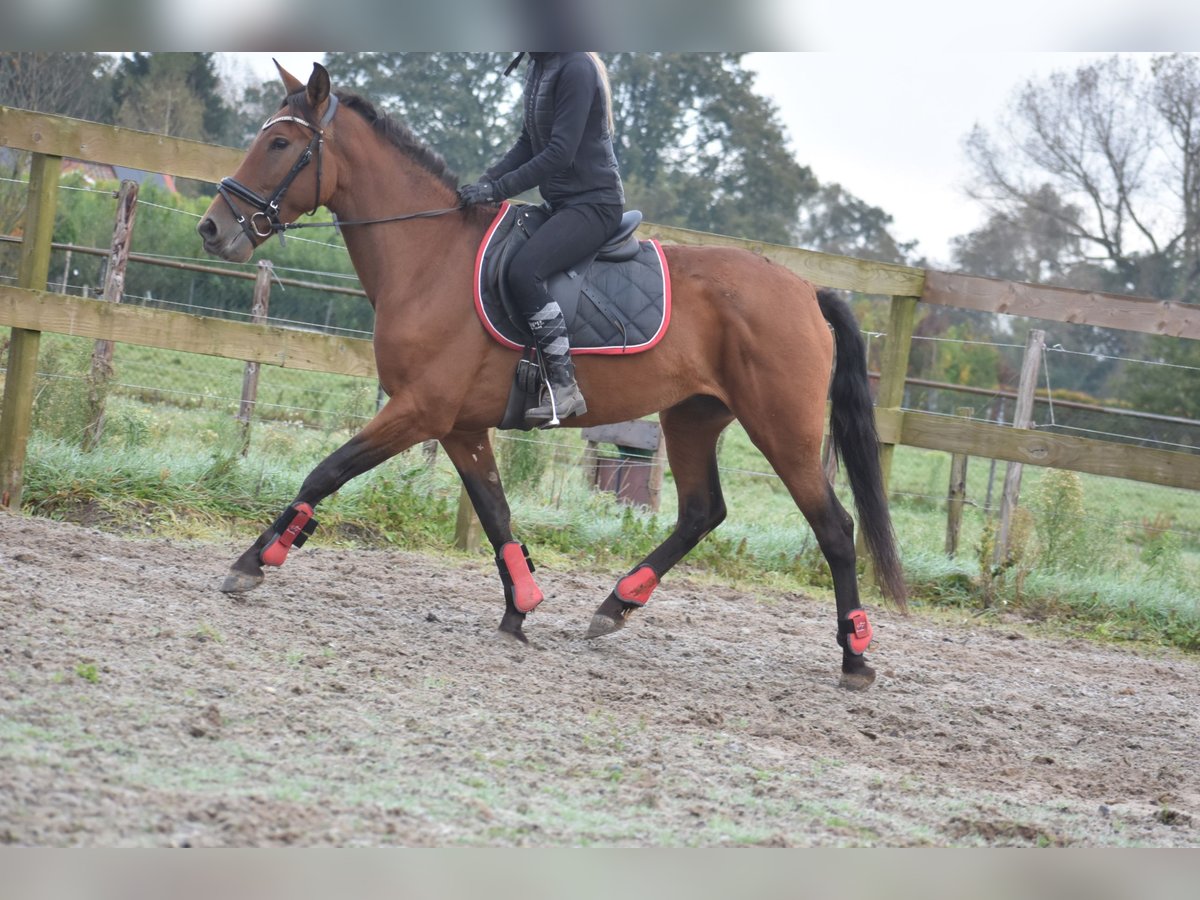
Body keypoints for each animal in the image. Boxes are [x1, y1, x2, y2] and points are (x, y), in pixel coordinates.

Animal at [196, 61, 902, 691]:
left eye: (280, 143)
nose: (211, 228)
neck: (430, 258)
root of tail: (806, 290)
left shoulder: (419, 410)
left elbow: (327, 471)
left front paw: (253, 562)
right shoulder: (459, 426)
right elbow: (495, 512)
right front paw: (521, 606)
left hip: (781, 429)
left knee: (835, 529)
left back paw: (855, 657)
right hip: (693, 417)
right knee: (702, 511)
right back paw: (616, 605)